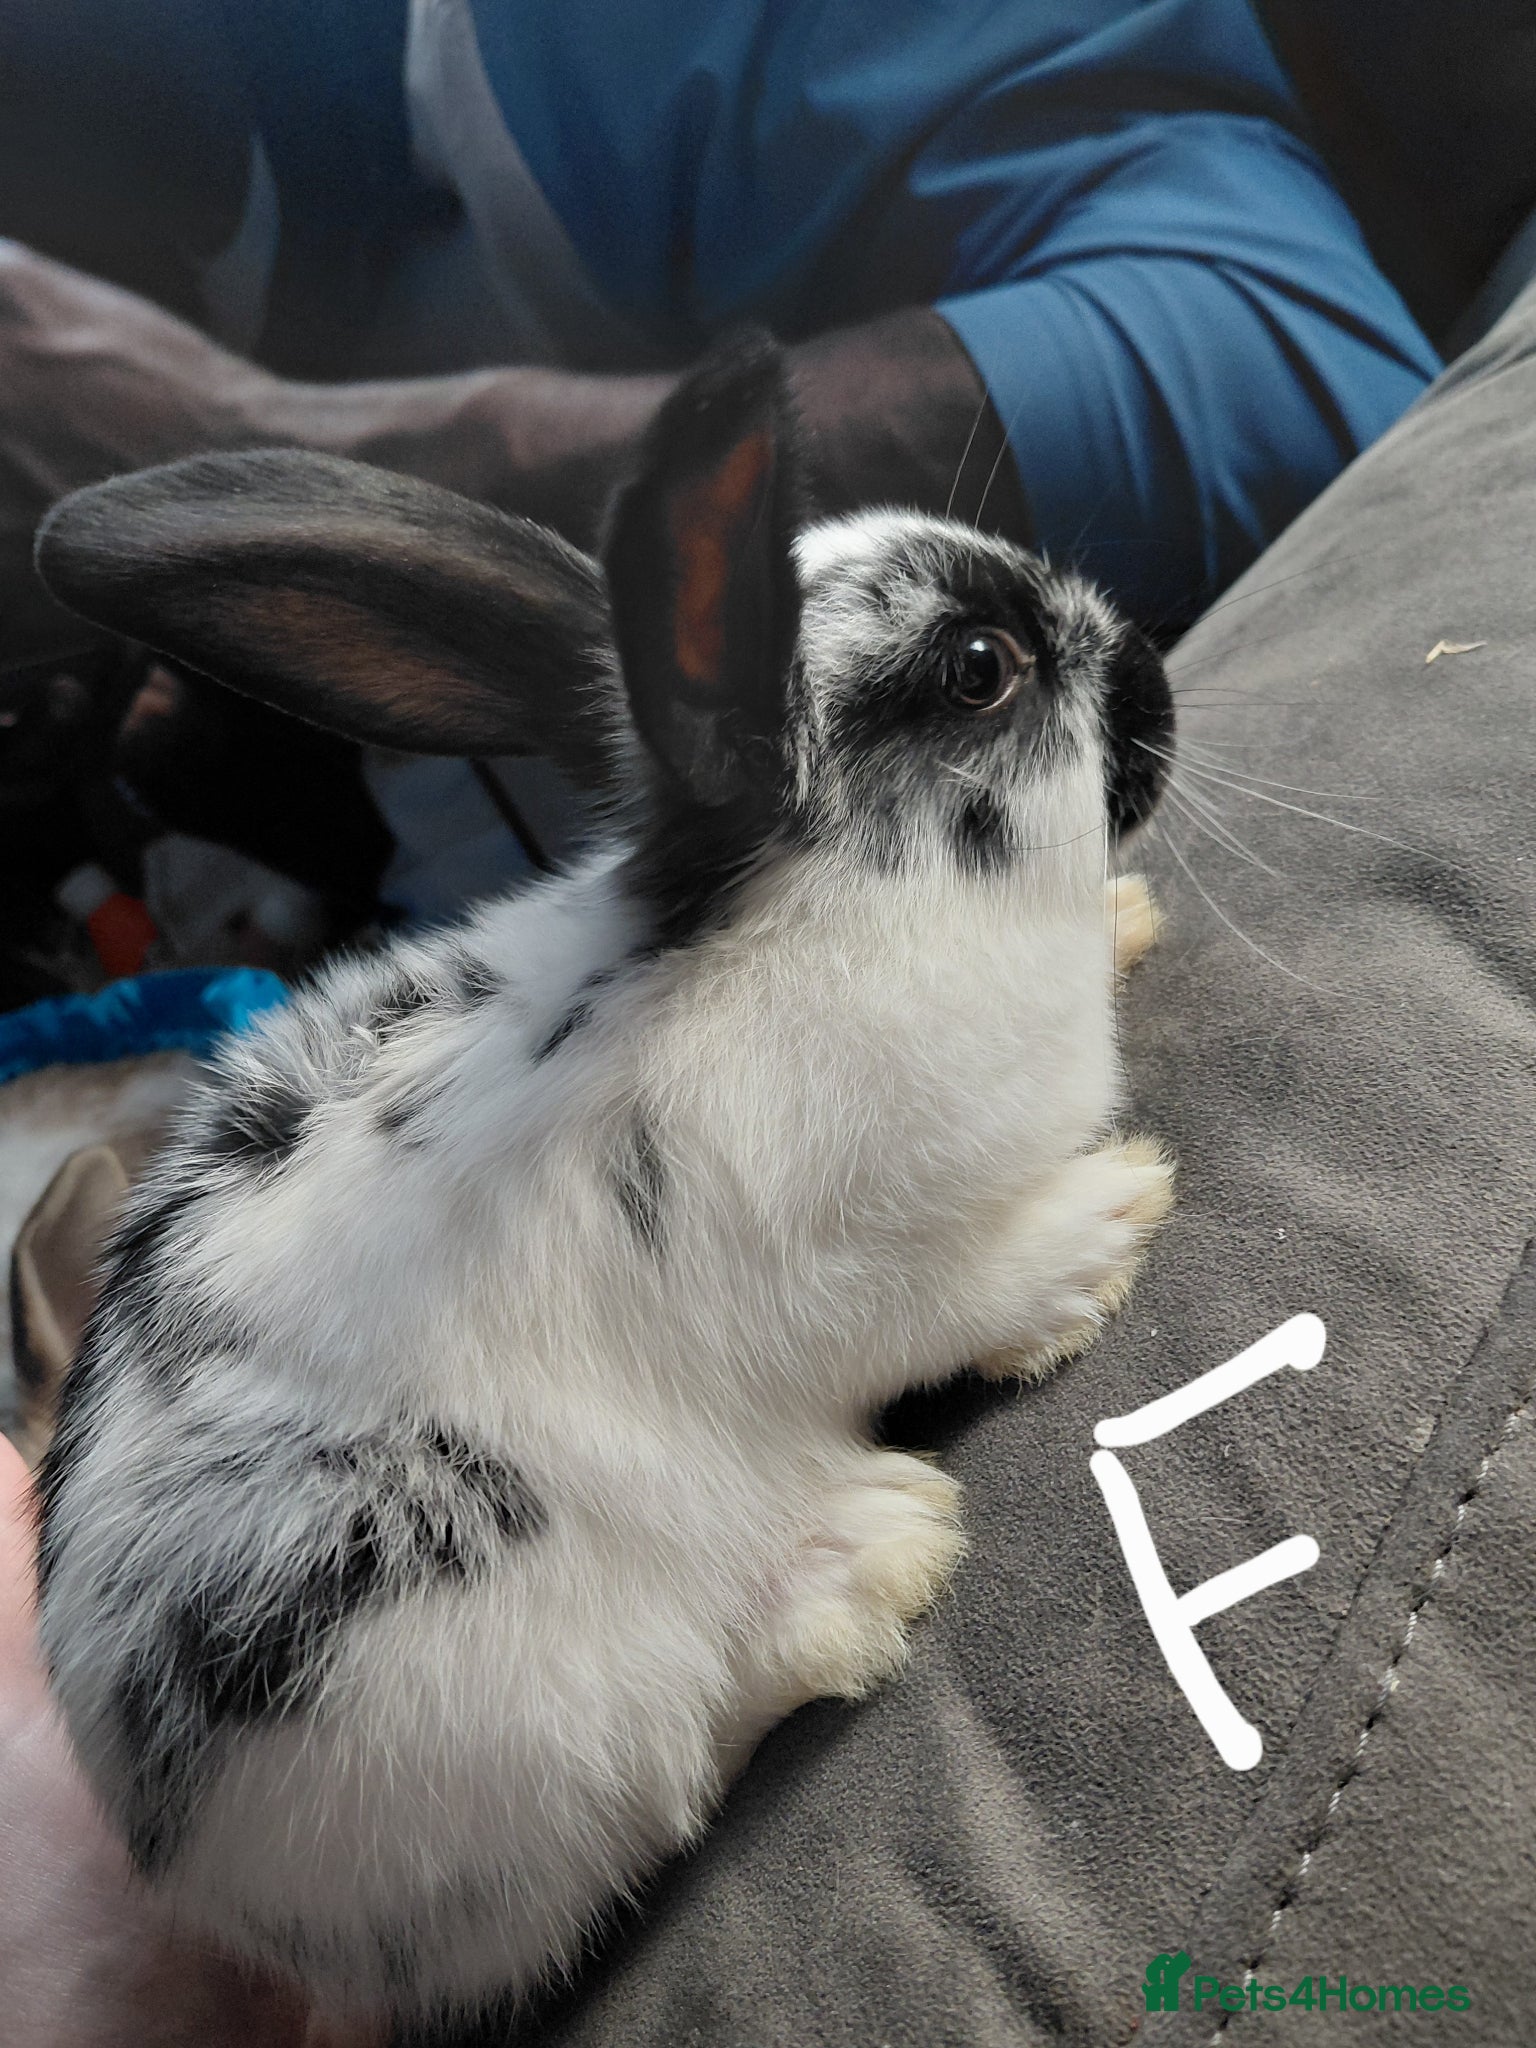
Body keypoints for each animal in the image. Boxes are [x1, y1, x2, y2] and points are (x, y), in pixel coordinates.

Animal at [28, 331, 1175, 2030]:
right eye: (981, 668)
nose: (1157, 673)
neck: (835, 908)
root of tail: (260, 1920)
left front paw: (1127, 920)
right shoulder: (864, 1262)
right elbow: (968, 1288)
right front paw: (1112, 1217)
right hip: (480, 1676)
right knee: (657, 1786)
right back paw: (864, 1565)